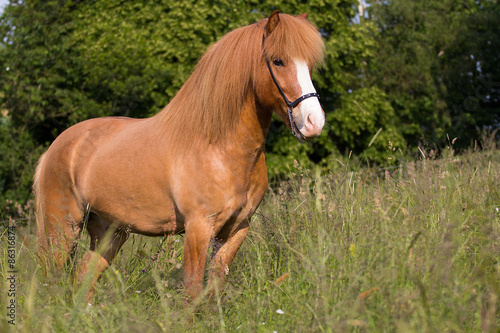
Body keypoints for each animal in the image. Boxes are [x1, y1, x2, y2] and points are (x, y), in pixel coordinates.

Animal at [33, 10, 326, 300]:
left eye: (310, 64)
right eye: (278, 61)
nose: (314, 122)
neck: (219, 147)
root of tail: (56, 147)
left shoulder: (237, 229)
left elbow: (214, 288)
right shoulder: (198, 229)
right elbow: (192, 290)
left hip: (109, 230)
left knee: (84, 278)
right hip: (62, 227)